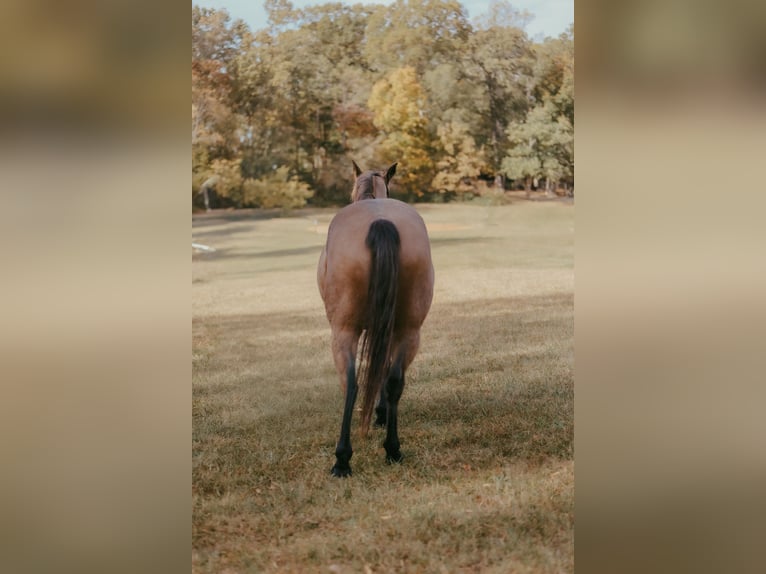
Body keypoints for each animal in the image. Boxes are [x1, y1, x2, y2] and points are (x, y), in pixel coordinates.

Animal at [317, 161, 434, 477]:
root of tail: (380, 221)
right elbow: (382, 370)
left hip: (343, 331)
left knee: (351, 382)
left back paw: (342, 459)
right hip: (409, 330)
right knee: (394, 381)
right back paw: (392, 449)